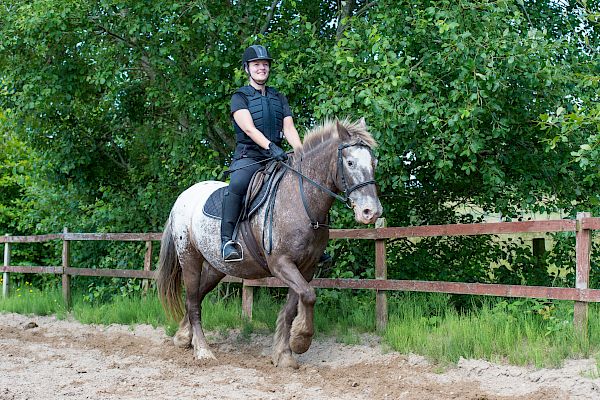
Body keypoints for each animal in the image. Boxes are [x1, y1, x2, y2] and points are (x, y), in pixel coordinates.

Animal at [154, 119, 380, 368]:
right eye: (350, 162)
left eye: (374, 163)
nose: (371, 212)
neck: (301, 200)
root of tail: (183, 197)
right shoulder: (280, 263)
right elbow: (308, 295)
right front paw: (300, 340)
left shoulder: (306, 268)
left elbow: (295, 305)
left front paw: (285, 353)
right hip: (190, 259)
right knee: (193, 302)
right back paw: (203, 350)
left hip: (216, 267)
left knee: (195, 298)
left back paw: (184, 338)